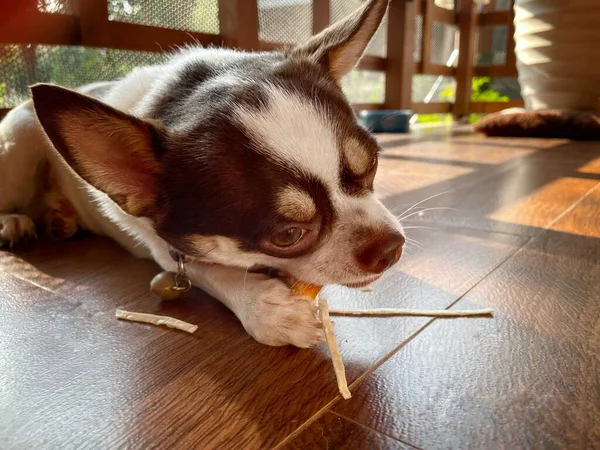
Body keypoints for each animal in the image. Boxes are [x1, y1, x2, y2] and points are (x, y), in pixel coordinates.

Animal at [0, 0, 406, 348]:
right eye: (288, 235)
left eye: (371, 164)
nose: (390, 246)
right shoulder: (165, 249)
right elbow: (210, 271)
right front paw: (265, 308)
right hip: (19, 137)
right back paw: (16, 222)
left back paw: (60, 219)